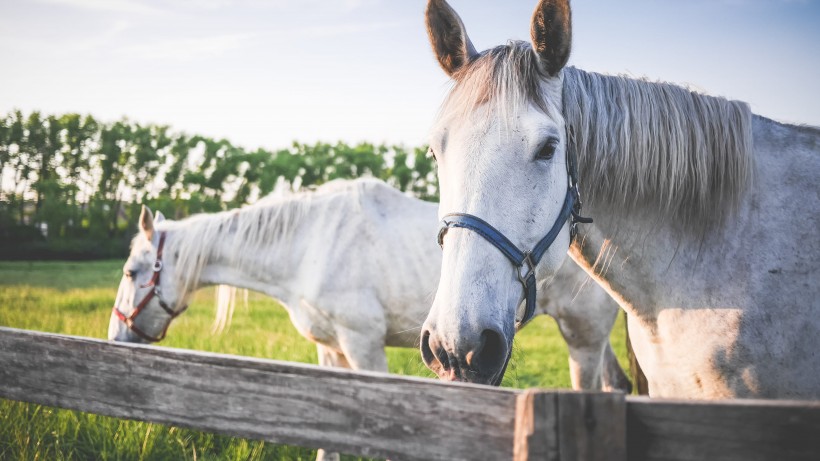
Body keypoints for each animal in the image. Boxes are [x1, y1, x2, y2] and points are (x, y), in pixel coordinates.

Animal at [109, 176, 628, 392]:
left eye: (132, 273)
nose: (115, 337)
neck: (308, 243)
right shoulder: (330, 351)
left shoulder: (364, 348)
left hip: (583, 339)